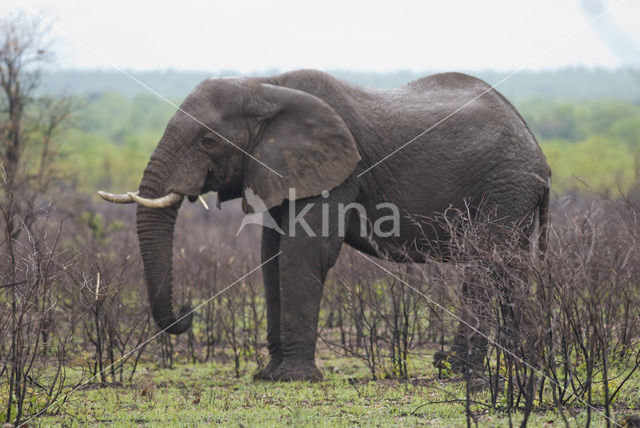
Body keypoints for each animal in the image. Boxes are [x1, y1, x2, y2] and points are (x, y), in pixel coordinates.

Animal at [99, 70, 552, 382]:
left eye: (208, 141)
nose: (187, 311)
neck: (265, 87)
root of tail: (539, 152)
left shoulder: (337, 172)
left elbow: (305, 252)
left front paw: (293, 379)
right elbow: (271, 254)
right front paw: (269, 375)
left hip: (502, 187)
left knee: (484, 267)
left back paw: (456, 369)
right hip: (512, 194)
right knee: (507, 271)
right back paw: (516, 365)